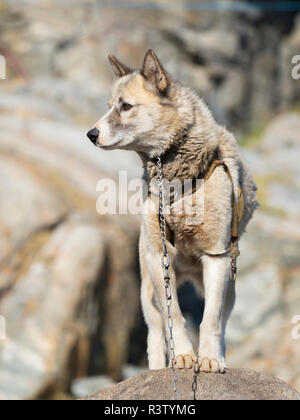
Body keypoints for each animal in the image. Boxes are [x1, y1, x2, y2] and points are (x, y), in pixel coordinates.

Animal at [86, 50, 258, 374]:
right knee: (156, 332)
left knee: (221, 321)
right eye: (109, 106)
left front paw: (209, 358)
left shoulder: (217, 258)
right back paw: (157, 367)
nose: (91, 134)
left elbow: (210, 320)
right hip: (148, 291)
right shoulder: (158, 258)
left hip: (230, 283)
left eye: (125, 106)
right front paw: (184, 356)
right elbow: (175, 318)